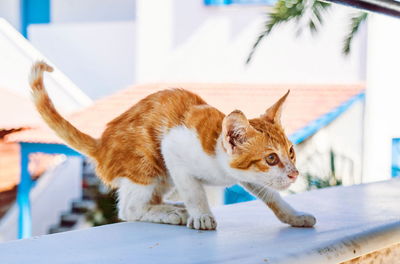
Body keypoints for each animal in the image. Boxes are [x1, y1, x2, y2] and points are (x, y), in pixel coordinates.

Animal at [29, 61, 316, 229]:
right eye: (271, 158)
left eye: (291, 152)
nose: (294, 173)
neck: (219, 164)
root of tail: (102, 144)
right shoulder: (173, 150)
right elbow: (193, 190)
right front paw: (201, 214)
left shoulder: (249, 176)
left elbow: (274, 198)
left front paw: (295, 217)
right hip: (148, 164)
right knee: (129, 209)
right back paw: (170, 213)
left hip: (163, 177)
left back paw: (170, 207)